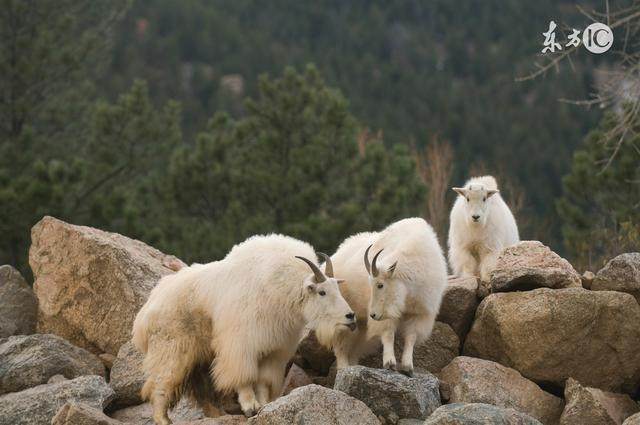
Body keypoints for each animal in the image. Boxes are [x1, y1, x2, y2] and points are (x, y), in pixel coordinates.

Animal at [132, 234, 356, 422]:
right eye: (322, 292)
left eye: (337, 288)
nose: (350, 317)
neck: (279, 289)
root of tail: (146, 311)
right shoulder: (241, 343)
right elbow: (243, 376)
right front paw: (250, 407)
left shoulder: (273, 348)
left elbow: (264, 380)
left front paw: (264, 405)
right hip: (172, 347)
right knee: (161, 382)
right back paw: (163, 419)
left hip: (200, 356)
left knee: (202, 389)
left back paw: (217, 414)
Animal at [322, 219, 448, 374]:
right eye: (371, 284)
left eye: (380, 285)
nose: (373, 315)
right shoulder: (387, 314)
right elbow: (388, 334)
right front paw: (390, 363)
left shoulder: (418, 313)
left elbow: (411, 337)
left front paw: (407, 367)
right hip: (342, 316)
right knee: (340, 343)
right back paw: (343, 368)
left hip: (360, 323)